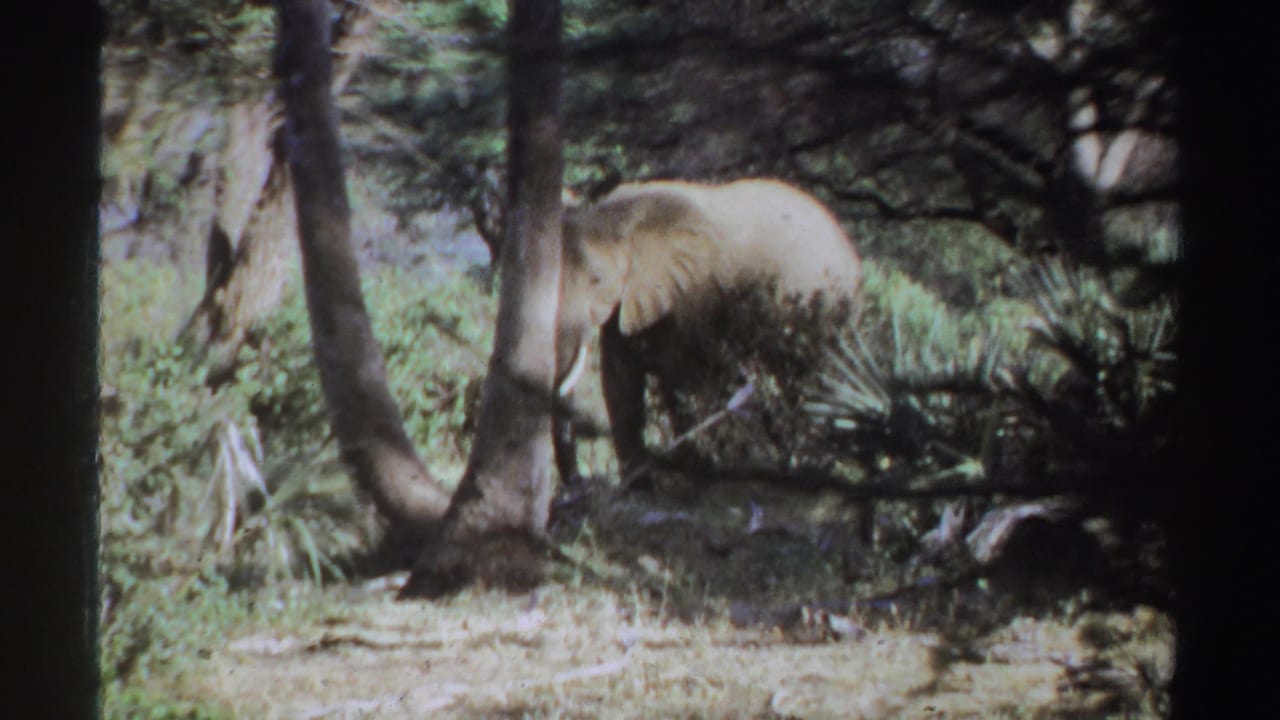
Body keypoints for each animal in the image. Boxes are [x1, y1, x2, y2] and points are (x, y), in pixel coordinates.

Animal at [552, 178, 864, 485]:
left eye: (597, 279)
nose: (578, 485)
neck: (626, 218)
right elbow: (620, 383)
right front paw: (638, 488)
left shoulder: (692, 295)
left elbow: (678, 382)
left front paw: (692, 475)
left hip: (824, 307)